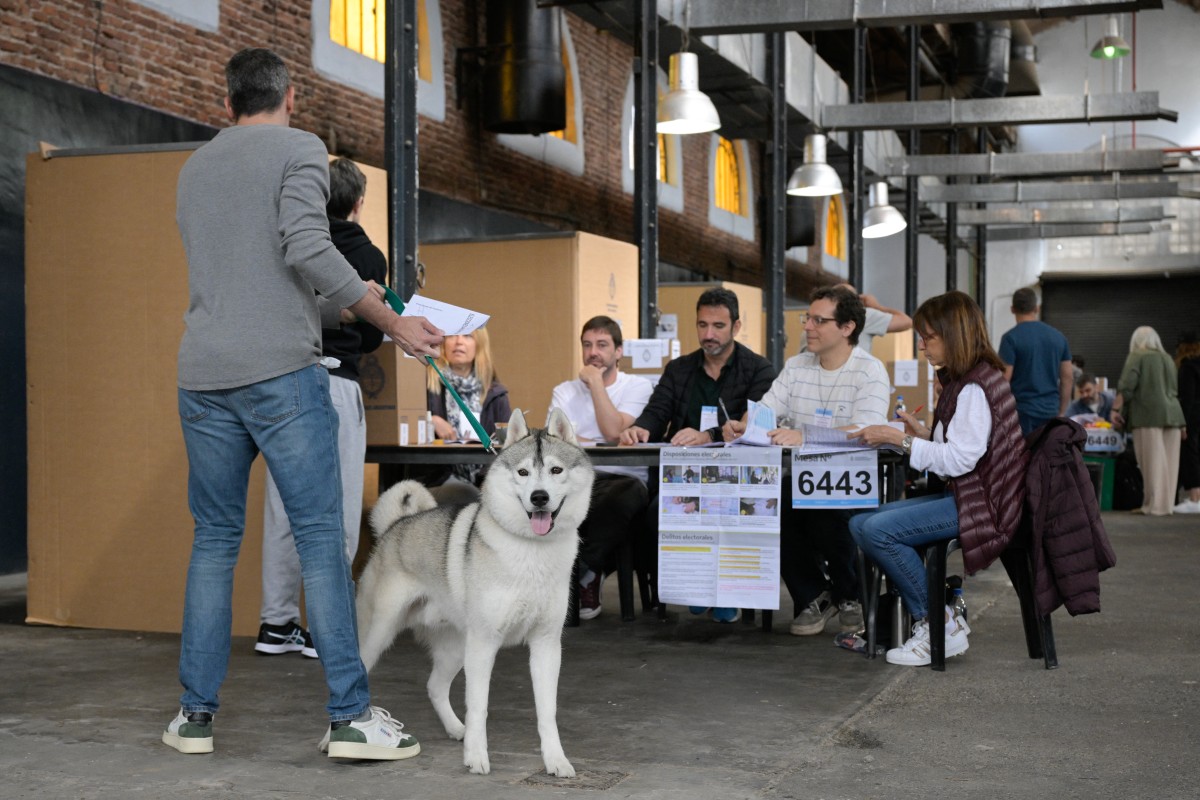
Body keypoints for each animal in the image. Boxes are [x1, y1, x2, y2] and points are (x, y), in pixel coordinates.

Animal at [355, 410, 600, 772]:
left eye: (556, 470)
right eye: (523, 472)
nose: (539, 497)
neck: (530, 550)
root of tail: (395, 525)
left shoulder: (546, 645)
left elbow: (547, 711)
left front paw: (556, 760)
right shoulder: (485, 644)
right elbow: (479, 707)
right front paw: (476, 757)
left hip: (458, 646)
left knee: (435, 686)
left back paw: (455, 728)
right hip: (382, 632)